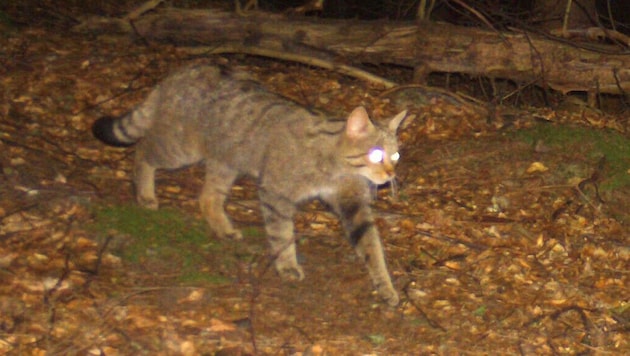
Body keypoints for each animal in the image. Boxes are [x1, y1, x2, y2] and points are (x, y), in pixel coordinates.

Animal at [94, 64, 410, 306]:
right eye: (377, 154)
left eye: (395, 155)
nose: (391, 173)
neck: (336, 167)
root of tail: (180, 71)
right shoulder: (276, 193)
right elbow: (282, 234)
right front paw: (287, 265)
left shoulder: (353, 204)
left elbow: (372, 247)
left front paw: (385, 286)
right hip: (180, 149)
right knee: (143, 149)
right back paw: (145, 194)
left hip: (225, 162)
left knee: (207, 197)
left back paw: (223, 228)